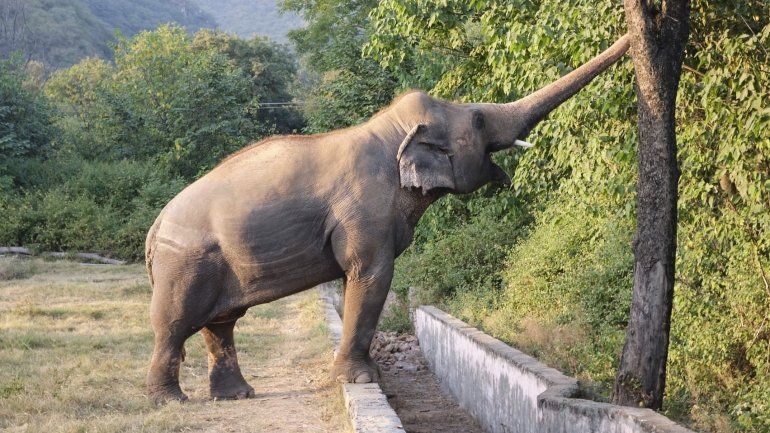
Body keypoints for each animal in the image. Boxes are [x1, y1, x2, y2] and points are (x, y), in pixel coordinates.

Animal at [144, 34, 630, 403]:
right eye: (477, 119)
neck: (390, 132)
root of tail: (154, 228)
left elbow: (355, 281)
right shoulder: (365, 211)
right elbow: (372, 275)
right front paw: (362, 381)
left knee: (221, 323)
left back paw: (236, 396)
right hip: (185, 263)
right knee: (175, 324)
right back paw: (171, 401)